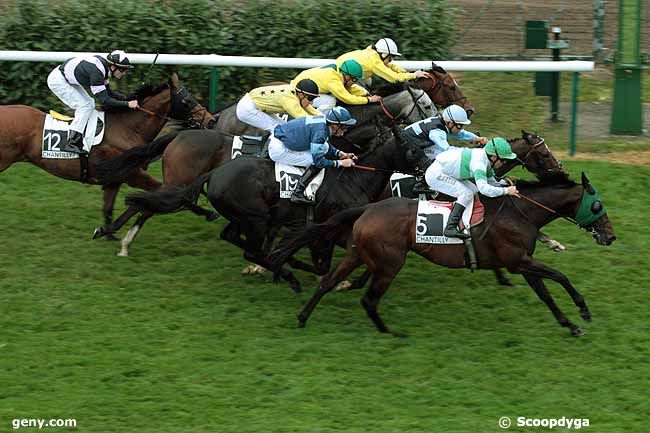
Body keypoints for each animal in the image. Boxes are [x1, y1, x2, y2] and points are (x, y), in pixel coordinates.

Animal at [0, 73, 211, 230]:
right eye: (187, 100)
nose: (210, 120)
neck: (127, 129)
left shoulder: (115, 178)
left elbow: (108, 207)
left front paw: (107, 233)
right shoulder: (133, 174)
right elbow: (171, 194)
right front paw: (208, 212)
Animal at [270, 170, 616, 336]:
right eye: (597, 205)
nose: (611, 236)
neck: (520, 213)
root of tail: (368, 207)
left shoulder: (521, 263)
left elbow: (546, 294)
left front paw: (571, 325)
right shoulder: (519, 261)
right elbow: (561, 276)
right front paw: (583, 310)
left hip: (357, 253)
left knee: (327, 282)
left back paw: (303, 317)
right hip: (389, 263)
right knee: (368, 299)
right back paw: (390, 332)